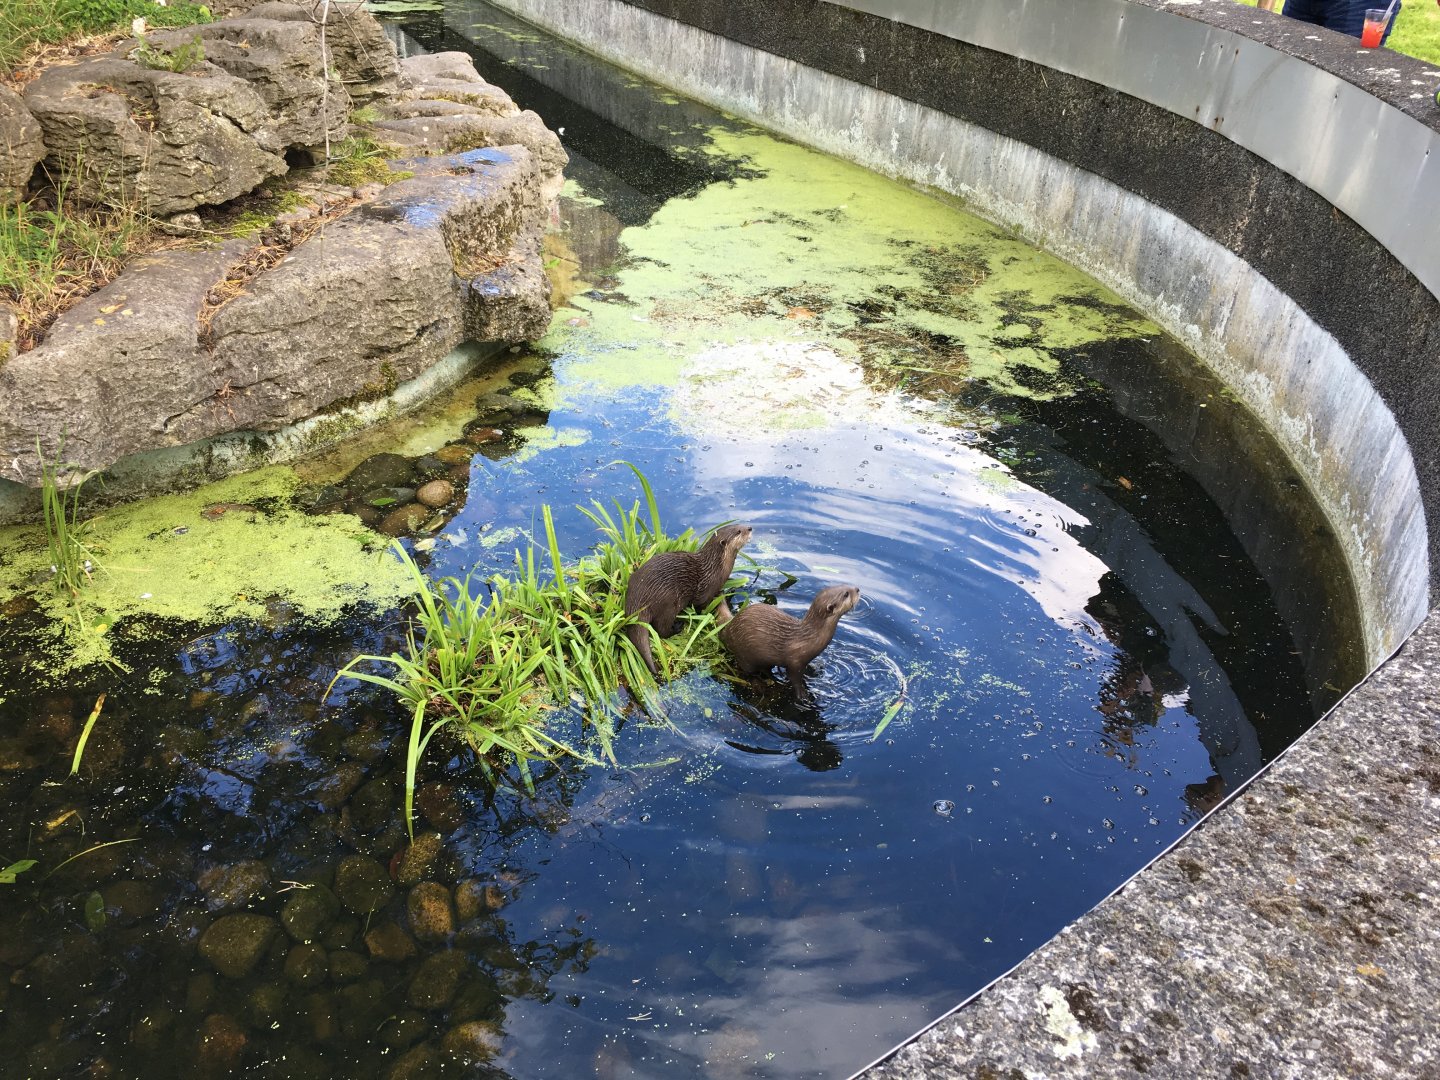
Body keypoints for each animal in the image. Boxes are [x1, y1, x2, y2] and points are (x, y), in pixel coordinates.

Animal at [624, 523, 753, 675]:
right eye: (738, 531)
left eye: (739, 524)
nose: (750, 528)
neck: (716, 569)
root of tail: (638, 600)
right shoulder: (705, 593)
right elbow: (702, 606)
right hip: (668, 603)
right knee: (661, 629)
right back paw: (678, 627)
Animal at [720, 584, 860, 704]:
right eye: (846, 594)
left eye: (844, 585)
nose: (857, 589)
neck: (809, 638)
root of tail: (730, 628)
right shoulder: (795, 662)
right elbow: (795, 679)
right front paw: (802, 696)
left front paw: (813, 669)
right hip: (744, 655)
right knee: (748, 671)